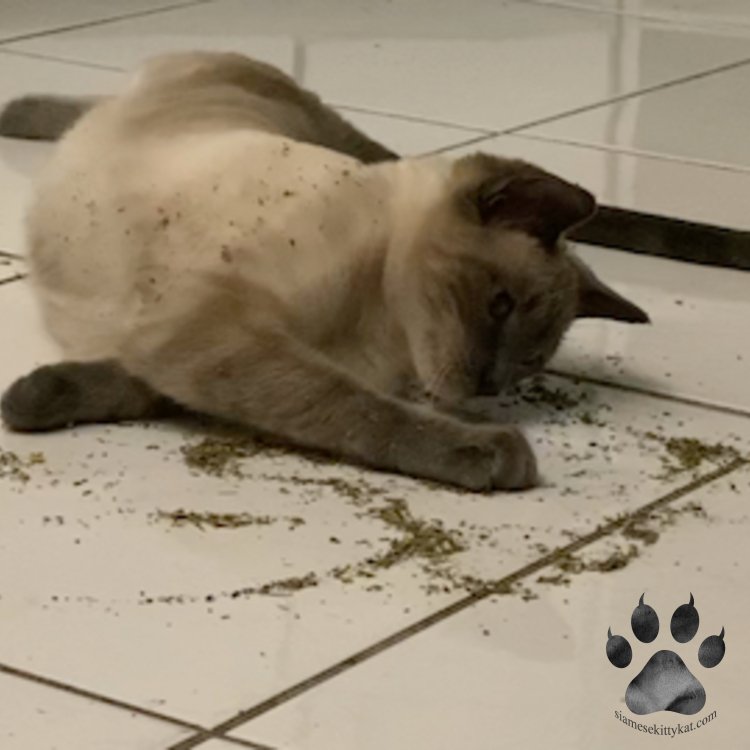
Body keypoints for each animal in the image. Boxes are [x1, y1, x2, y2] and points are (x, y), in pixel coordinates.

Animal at [0, 51, 648, 494]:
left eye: (530, 361)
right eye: (499, 305)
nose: (491, 384)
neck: (384, 342)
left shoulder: (180, 351)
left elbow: (139, 386)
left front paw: (32, 400)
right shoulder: (212, 331)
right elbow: (361, 410)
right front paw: (493, 451)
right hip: (287, 112)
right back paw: (16, 112)